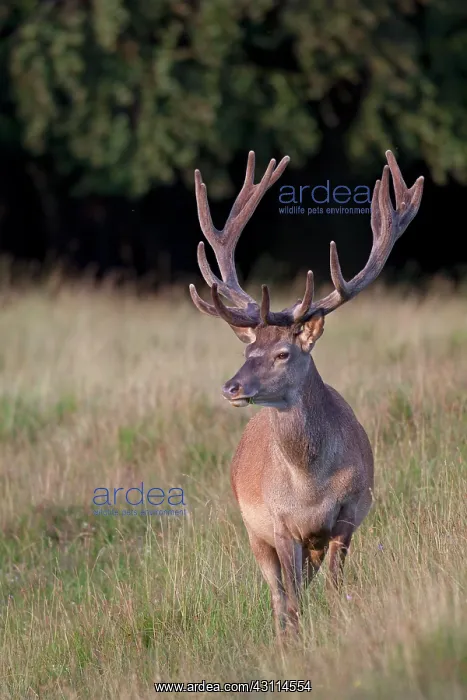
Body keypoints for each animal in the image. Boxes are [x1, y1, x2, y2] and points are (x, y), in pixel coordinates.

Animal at [189, 150, 424, 636]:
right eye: (248, 349)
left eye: (282, 353)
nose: (230, 386)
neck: (310, 486)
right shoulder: (279, 524)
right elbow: (292, 600)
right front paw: (297, 638)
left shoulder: (349, 512)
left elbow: (334, 588)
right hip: (252, 531)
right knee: (278, 595)